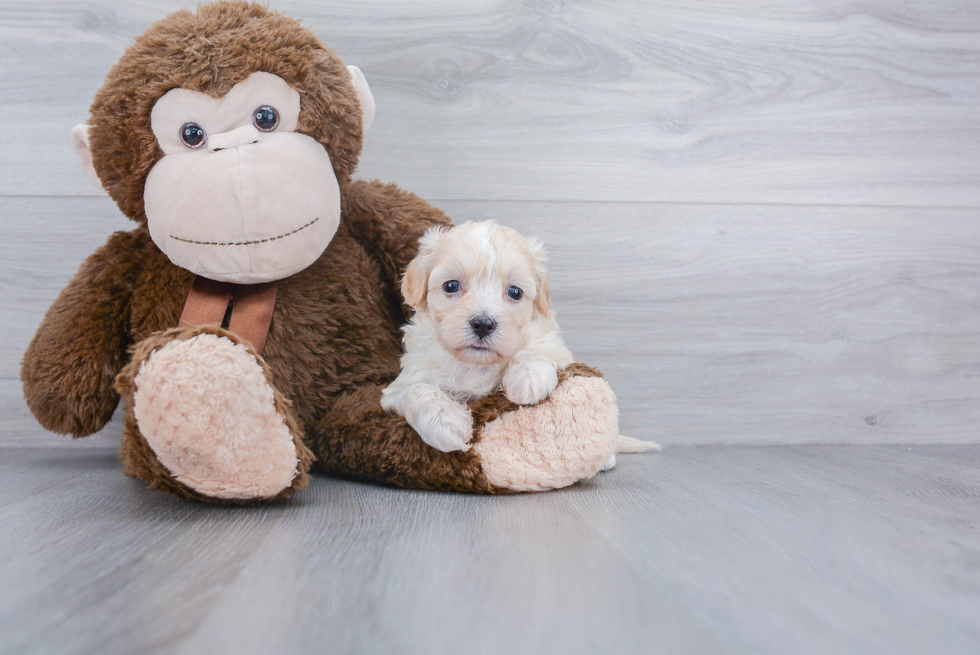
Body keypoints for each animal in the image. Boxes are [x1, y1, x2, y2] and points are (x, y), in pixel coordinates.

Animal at [378, 219, 572, 452]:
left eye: (515, 292)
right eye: (451, 286)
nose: (483, 325)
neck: (475, 365)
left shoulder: (554, 346)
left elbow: (537, 348)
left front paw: (527, 377)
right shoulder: (401, 385)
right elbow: (416, 391)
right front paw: (445, 422)